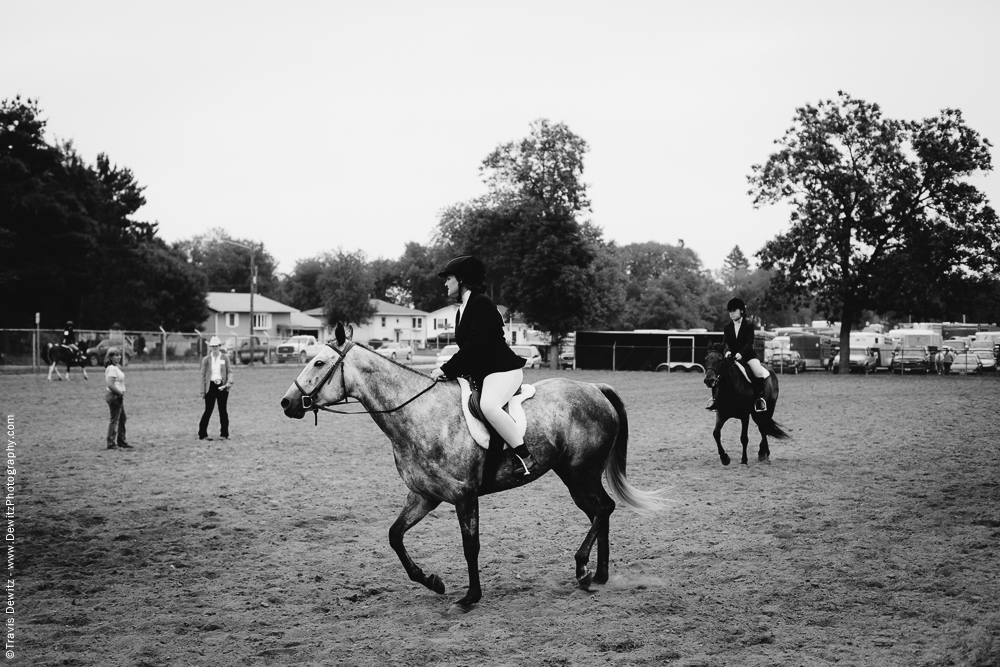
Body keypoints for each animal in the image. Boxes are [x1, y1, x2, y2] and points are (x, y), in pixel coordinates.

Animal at [280, 324, 672, 616]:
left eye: (319, 363)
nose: (287, 402)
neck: (418, 413)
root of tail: (594, 387)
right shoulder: (424, 496)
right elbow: (394, 536)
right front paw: (432, 581)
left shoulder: (464, 495)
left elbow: (471, 545)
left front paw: (470, 597)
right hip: (572, 476)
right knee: (599, 512)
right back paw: (599, 574)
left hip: (581, 473)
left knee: (603, 509)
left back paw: (582, 568)